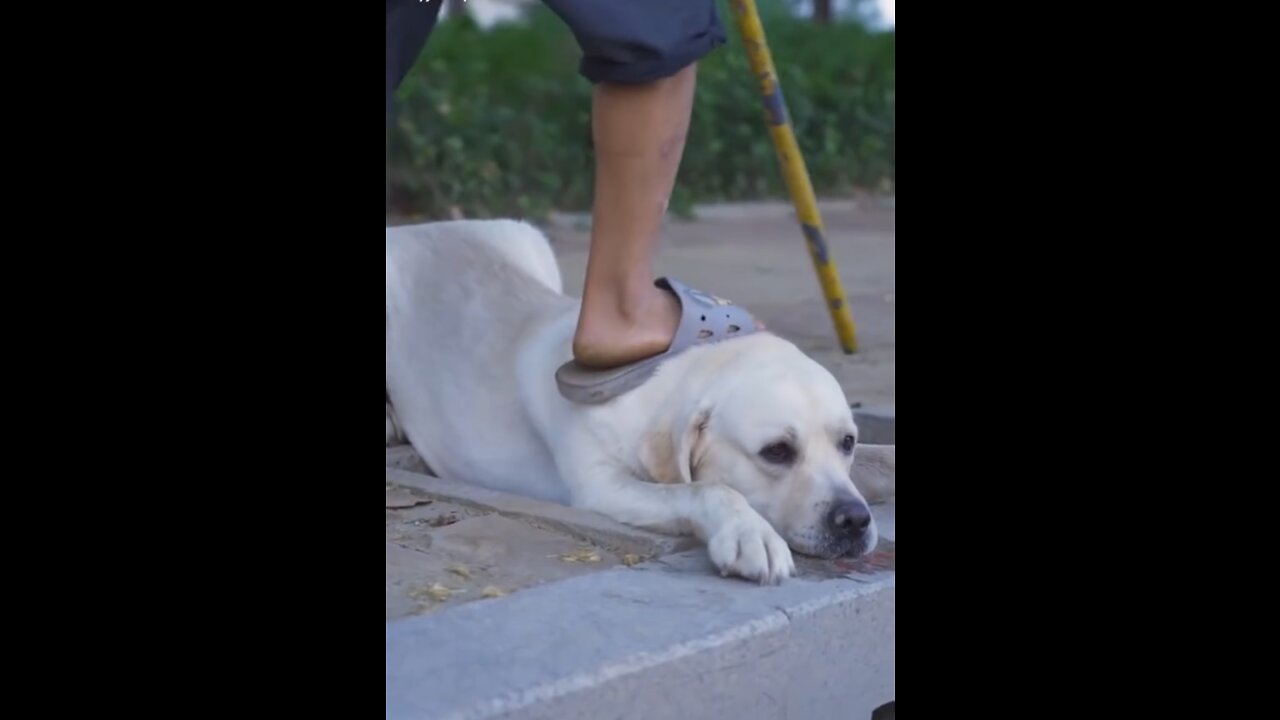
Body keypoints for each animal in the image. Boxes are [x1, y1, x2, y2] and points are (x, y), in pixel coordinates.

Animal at [381, 219, 880, 584]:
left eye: (847, 442)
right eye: (776, 451)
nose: (855, 520)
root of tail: (417, 226)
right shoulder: (603, 487)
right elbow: (704, 488)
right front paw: (748, 533)